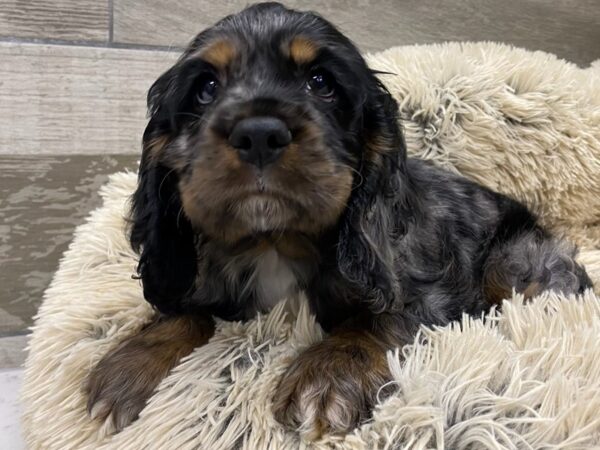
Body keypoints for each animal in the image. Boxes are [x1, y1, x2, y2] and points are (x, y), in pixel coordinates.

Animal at [86, 2, 592, 440]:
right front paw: (130, 364)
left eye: (320, 82)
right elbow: (186, 308)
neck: (275, 241)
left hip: (516, 264)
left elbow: (382, 317)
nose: (259, 133)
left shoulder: (425, 287)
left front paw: (328, 374)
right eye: (206, 87)